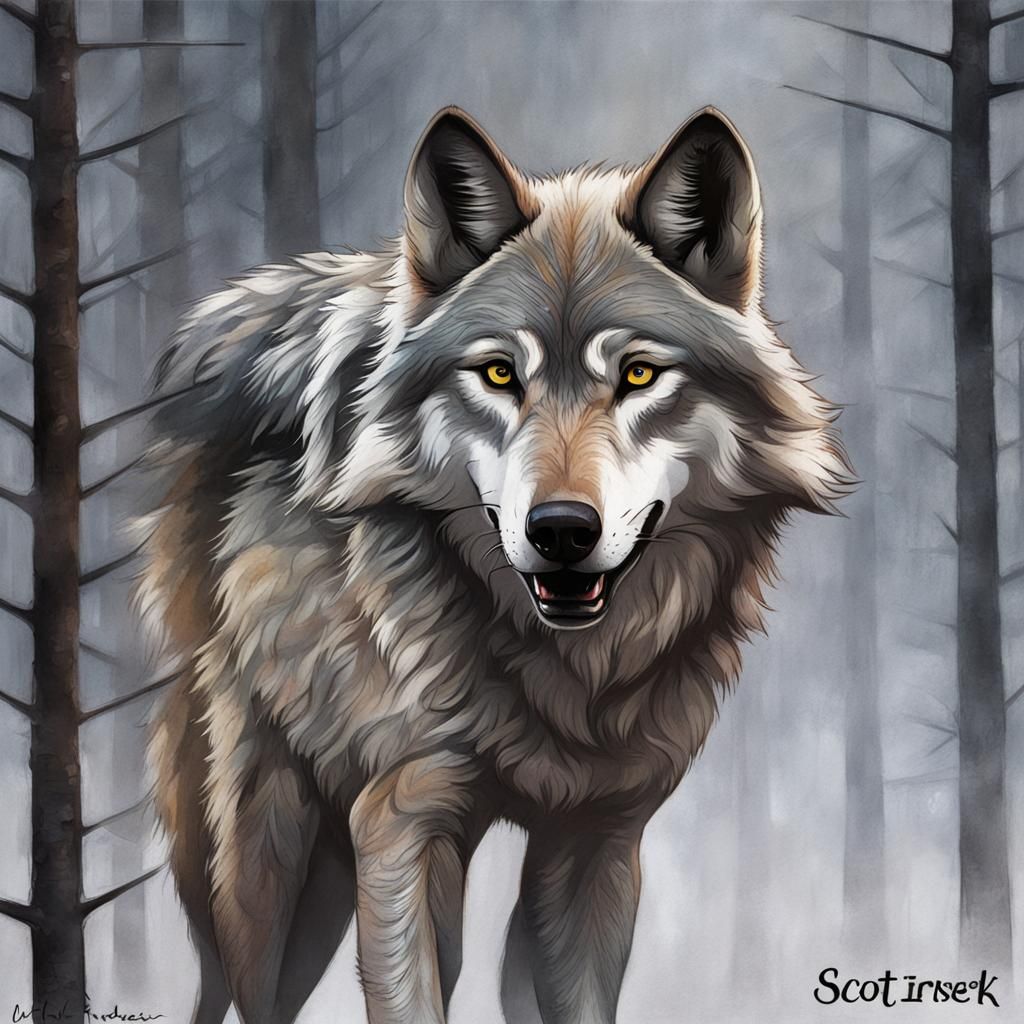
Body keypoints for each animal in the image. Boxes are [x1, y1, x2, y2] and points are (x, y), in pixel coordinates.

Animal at [138, 106, 851, 1024]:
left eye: (639, 374)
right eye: (500, 373)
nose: (561, 530)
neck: (567, 675)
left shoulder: (598, 839)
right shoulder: (402, 820)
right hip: (268, 864)